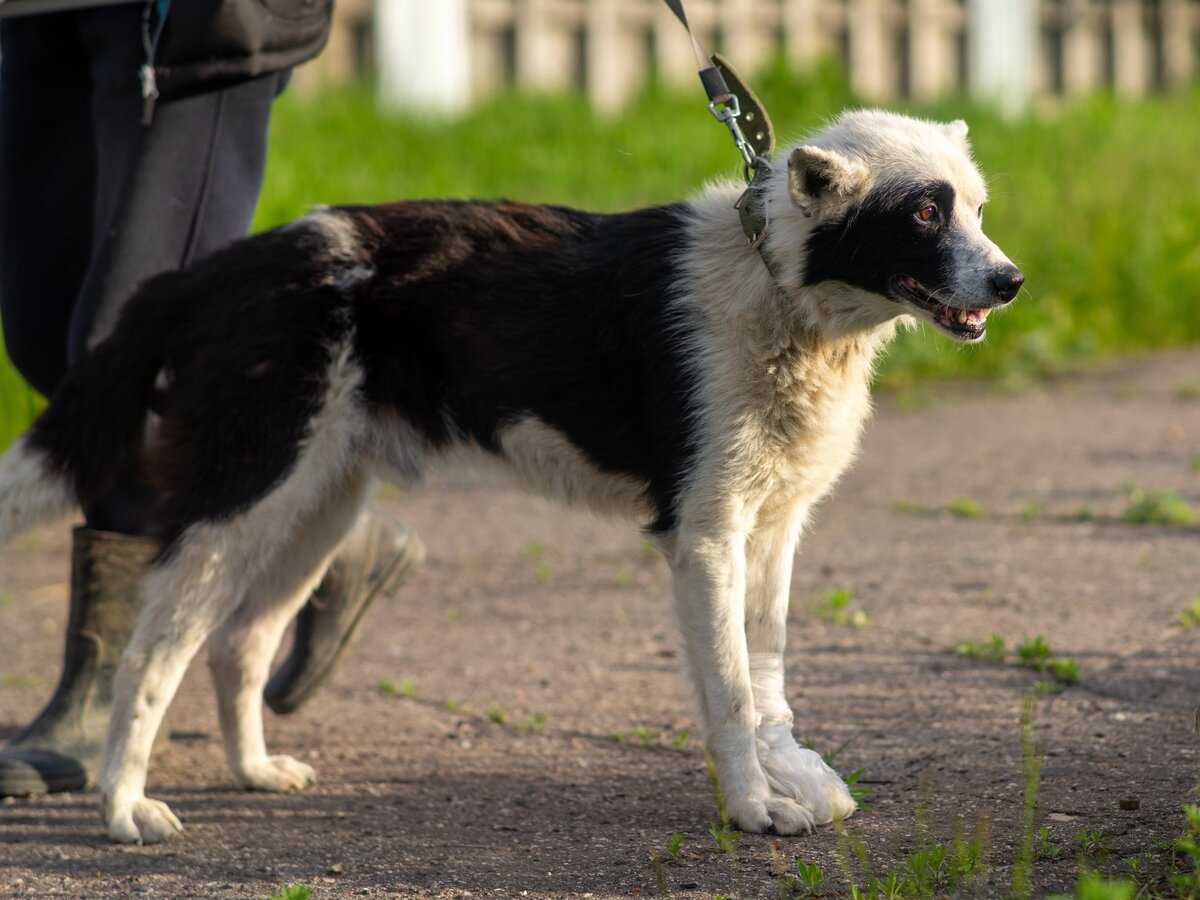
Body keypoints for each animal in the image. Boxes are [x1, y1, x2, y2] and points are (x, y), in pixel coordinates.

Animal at [0, 109, 1022, 844]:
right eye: (924, 213)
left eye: (978, 208)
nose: (1012, 282)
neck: (779, 288)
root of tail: (220, 270)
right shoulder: (704, 537)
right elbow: (731, 692)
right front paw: (754, 811)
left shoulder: (771, 530)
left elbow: (766, 677)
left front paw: (794, 780)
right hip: (243, 495)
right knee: (152, 655)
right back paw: (122, 810)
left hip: (321, 502)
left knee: (239, 645)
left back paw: (254, 773)